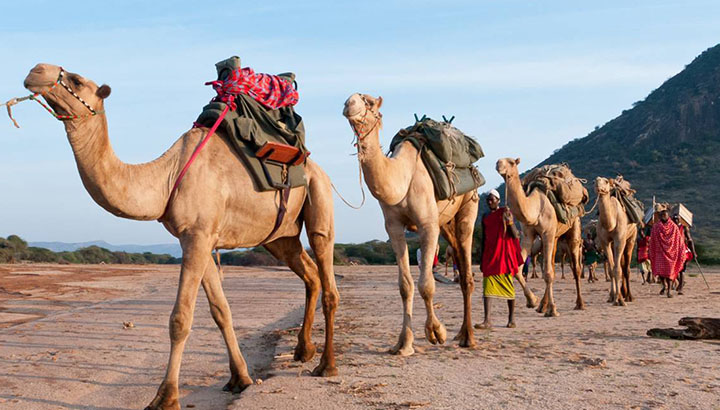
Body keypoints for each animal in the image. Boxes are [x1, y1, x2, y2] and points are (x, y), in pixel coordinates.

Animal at [21, 63, 338, 410]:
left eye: (77, 80)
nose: (36, 70)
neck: (165, 177)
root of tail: (313, 164)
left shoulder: (198, 235)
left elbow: (180, 319)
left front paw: (165, 396)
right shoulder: (198, 237)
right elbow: (221, 311)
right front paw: (239, 378)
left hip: (319, 195)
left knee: (327, 272)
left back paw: (326, 365)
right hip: (279, 237)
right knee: (309, 273)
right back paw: (303, 350)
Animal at [496, 159, 584, 316]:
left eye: (511, 162)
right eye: (499, 160)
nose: (498, 164)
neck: (535, 209)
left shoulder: (547, 233)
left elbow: (548, 273)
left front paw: (553, 310)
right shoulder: (528, 236)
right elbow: (518, 268)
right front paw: (532, 301)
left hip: (574, 227)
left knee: (576, 268)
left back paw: (579, 304)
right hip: (555, 237)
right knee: (553, 264)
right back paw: (542, 305)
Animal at [592, 176, 640, 304]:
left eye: (606, 181)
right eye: (595, 181)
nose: (598, 186)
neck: (610, 224)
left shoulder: (619, 240)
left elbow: (618, 269)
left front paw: (620, 300)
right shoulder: (605, 242)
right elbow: (611, 269)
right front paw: (613, 297)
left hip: (631, 238)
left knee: (626, 268)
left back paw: (629, 296)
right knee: (620, 265)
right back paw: (622, 294)